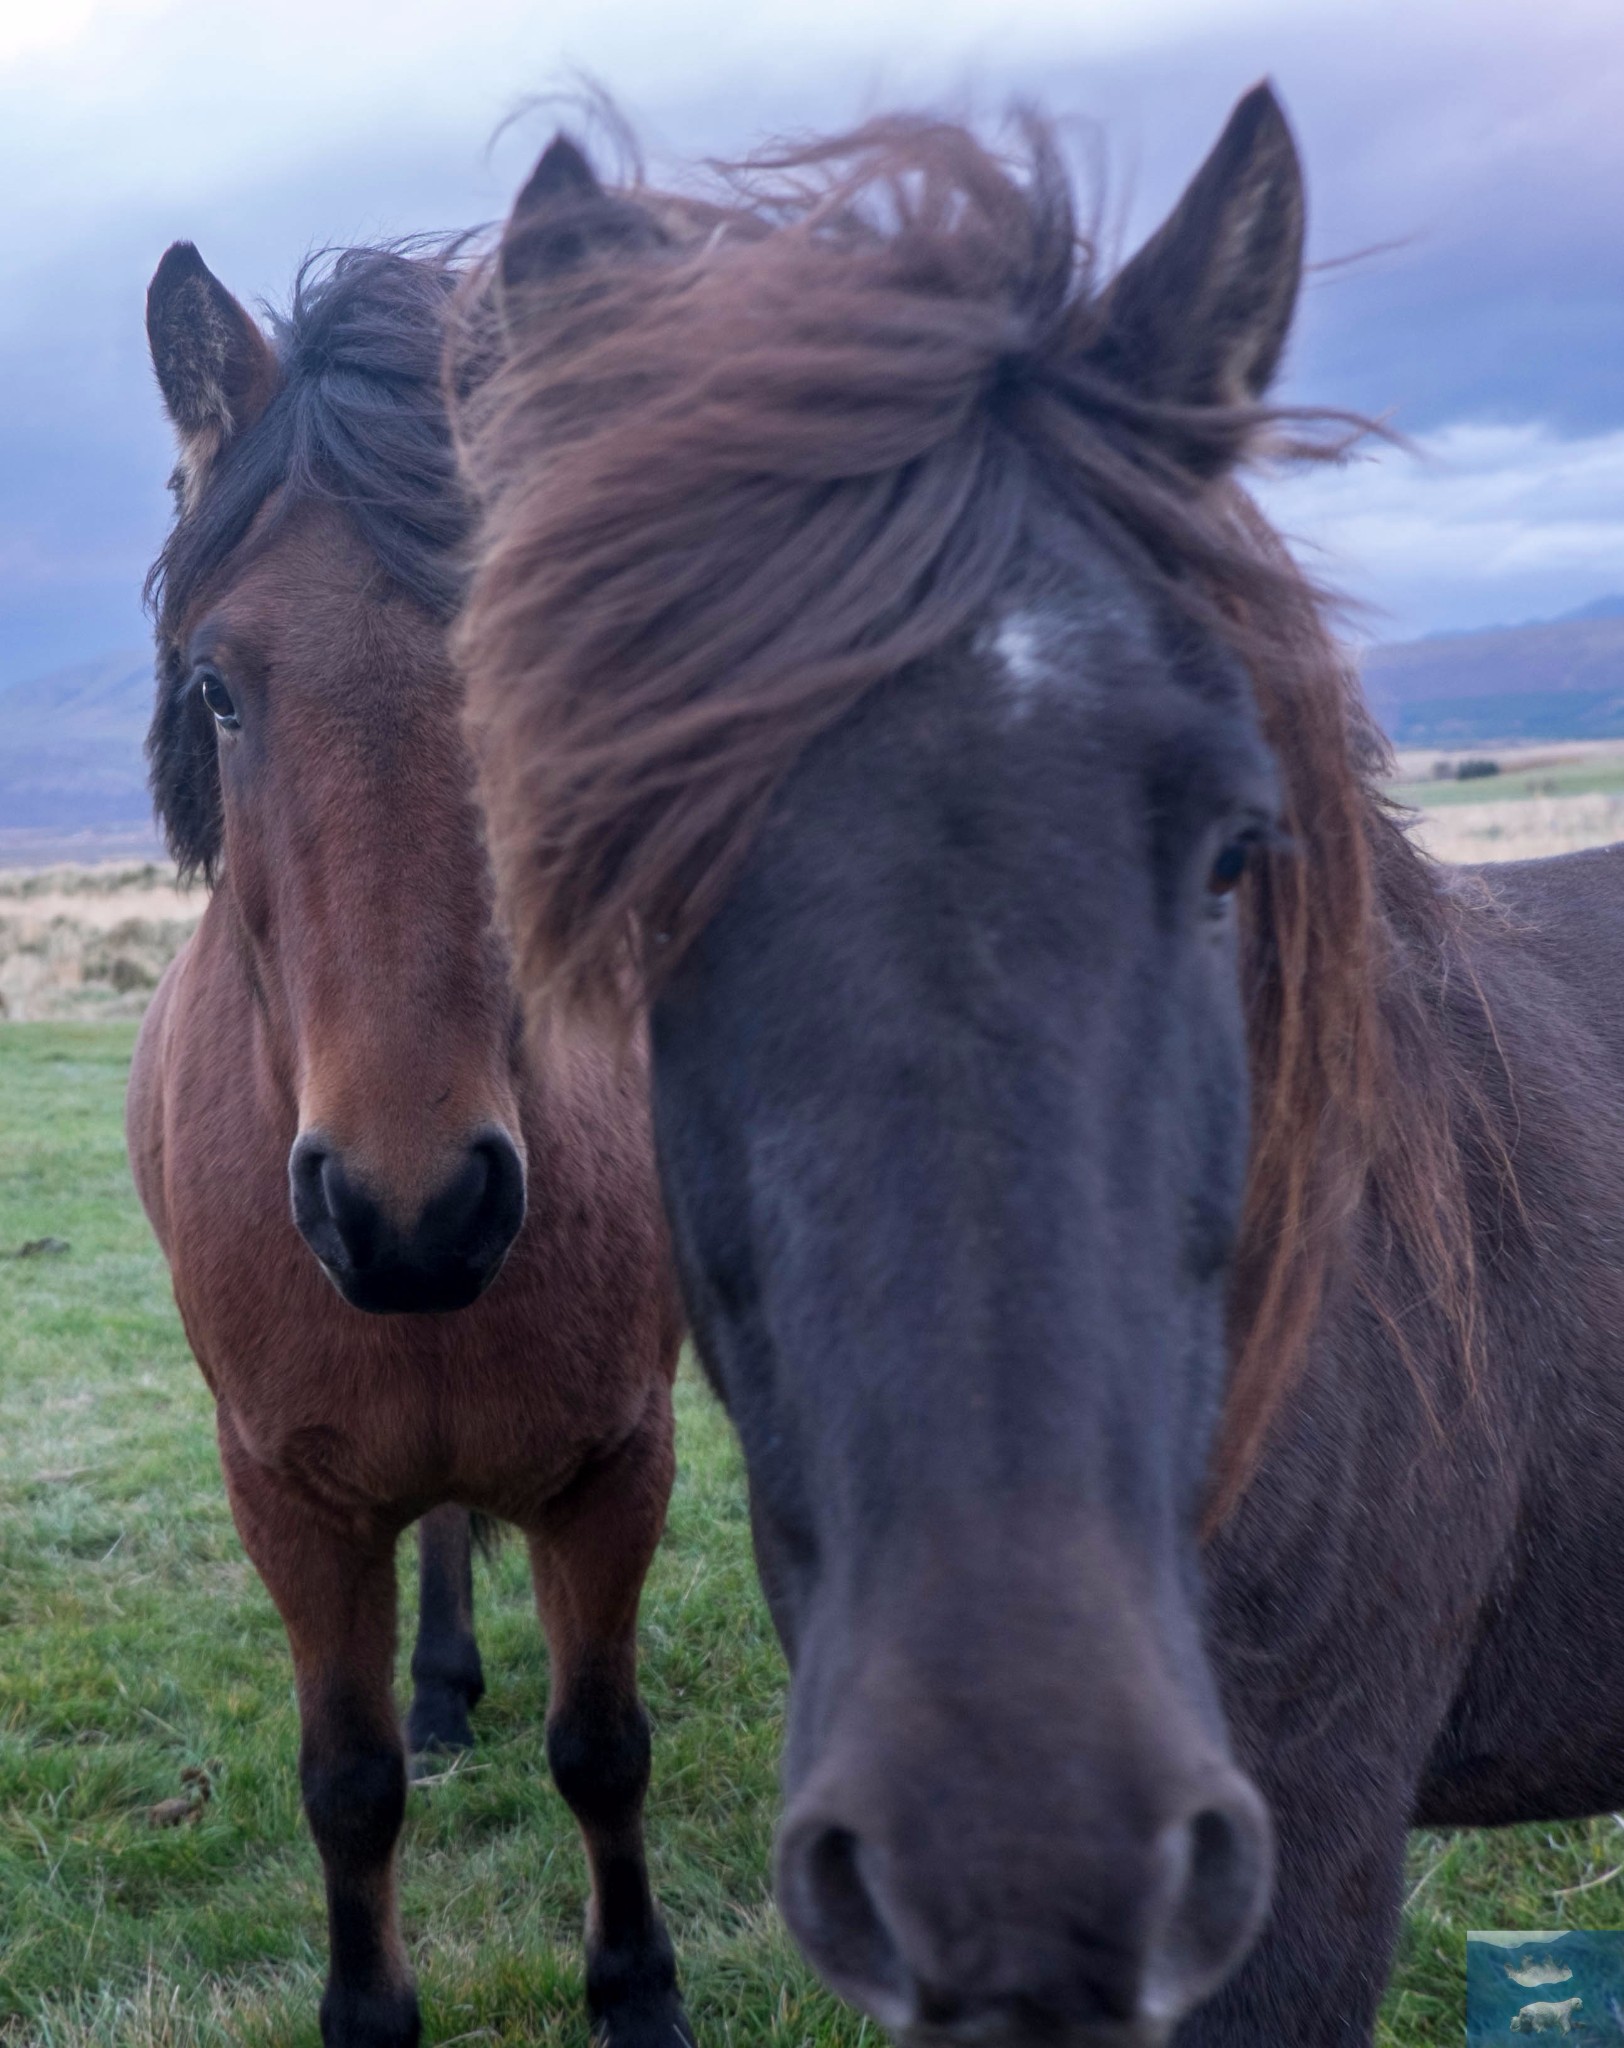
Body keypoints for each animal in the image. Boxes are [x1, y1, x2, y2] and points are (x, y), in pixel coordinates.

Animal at [121, 239, 692, 2048]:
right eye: (219, 688)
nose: (410, 1209)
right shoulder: (286, 1498)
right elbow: (348, 1785)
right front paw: (368, 2006)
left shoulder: (615, 1464)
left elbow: (601, 1750)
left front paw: (635, 1989)